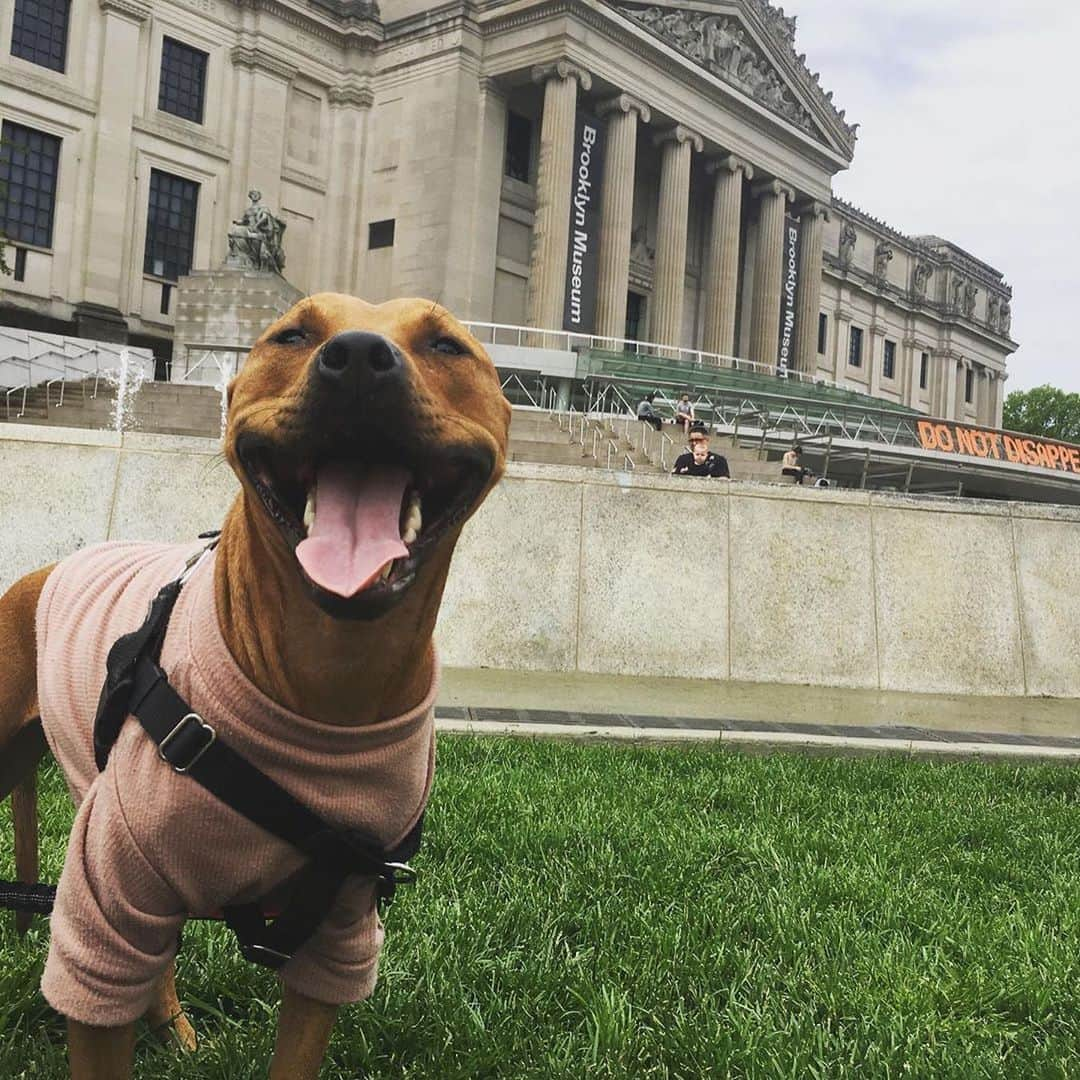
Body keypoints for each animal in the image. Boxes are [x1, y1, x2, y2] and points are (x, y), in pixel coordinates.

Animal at [0, 291, 509, 1075]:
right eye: (292, 335)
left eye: (447, 345)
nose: (358, 357)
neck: (324, 685)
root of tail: (44, 570)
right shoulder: (103, 919)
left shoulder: (341, 929)